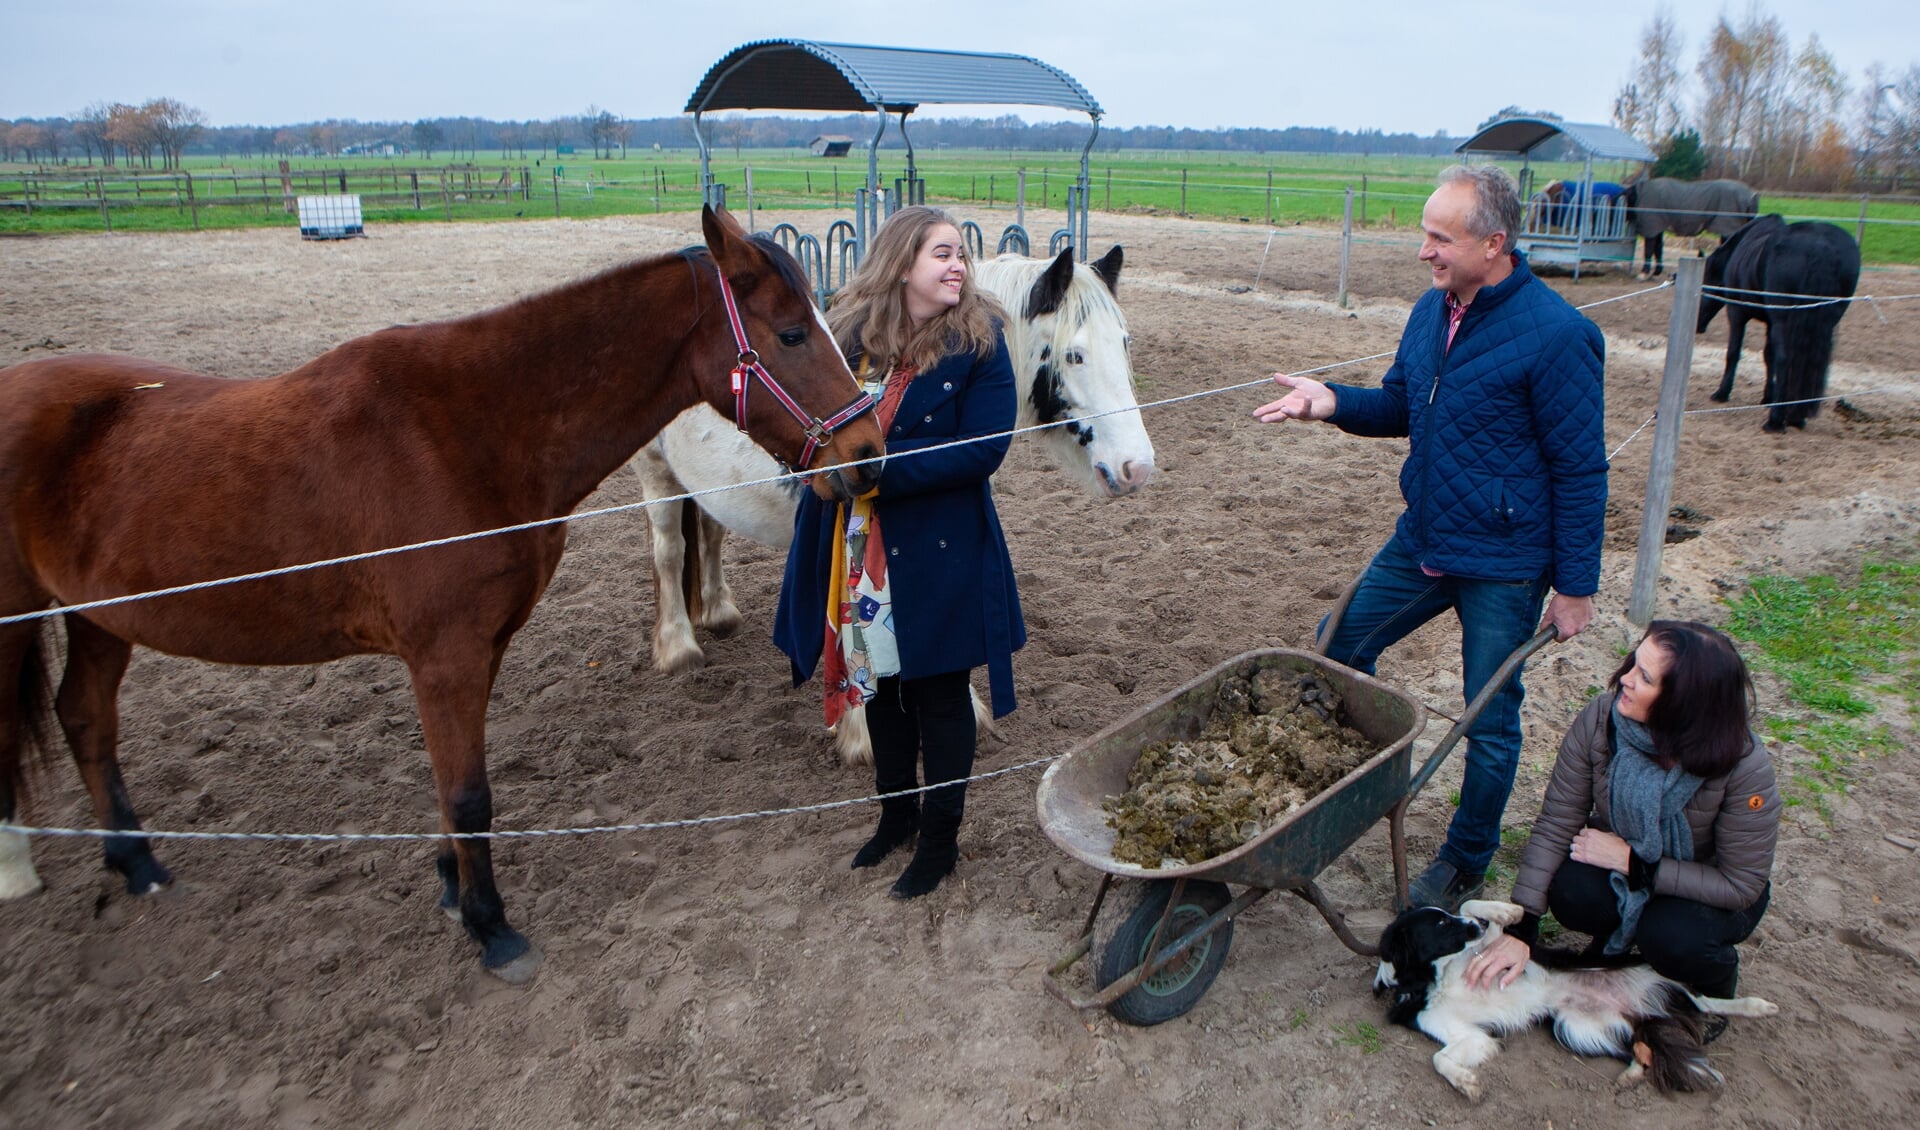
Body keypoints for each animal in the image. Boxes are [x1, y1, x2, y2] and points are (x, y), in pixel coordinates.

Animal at [0, 209, 883, 978]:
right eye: (791, 333)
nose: (869, 451)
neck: (469, 430)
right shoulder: (444, 656)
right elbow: (468, 792)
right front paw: (492, 928)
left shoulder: (478, 647)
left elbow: (452, 786)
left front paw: (456, 892)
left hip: (99, 618)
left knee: (85, 718)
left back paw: (137, 861)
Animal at [633, 243, 1152, 763]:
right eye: (1075, 354)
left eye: (1125, 342)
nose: (1137, 466)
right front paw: (863, 731)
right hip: (658, 476)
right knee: (670, 551)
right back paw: (679, 647)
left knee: (710, 536)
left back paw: (719, 612)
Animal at [1374, 897, 1774, 1105]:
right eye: (1440, 926)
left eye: (1446, 918)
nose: (1473, 928)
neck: (1437, 975)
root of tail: (1638, 1008)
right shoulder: (1466, 1035)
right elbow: (1439, 1058)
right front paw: (1467, 1083)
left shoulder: (1498, 950)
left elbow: (1477, 906)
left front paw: (1507, 911)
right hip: (1579, 1029)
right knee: (1638, 1047)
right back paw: (1631, 1075)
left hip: (1644, 969)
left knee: (1704, 1002)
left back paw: (1758, 1006)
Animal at [1697, 214, 1858, 431]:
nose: (1698, 325)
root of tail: (1820, 246)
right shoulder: (1770, 322)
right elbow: (1768, 356)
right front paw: (1767, 397)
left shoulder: (1737, 313)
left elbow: (1734, 353)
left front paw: (1722, 393)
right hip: (1826, 322)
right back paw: (1796, 417)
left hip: (1783, 320)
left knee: (1785, 360)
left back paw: (1775, 420)